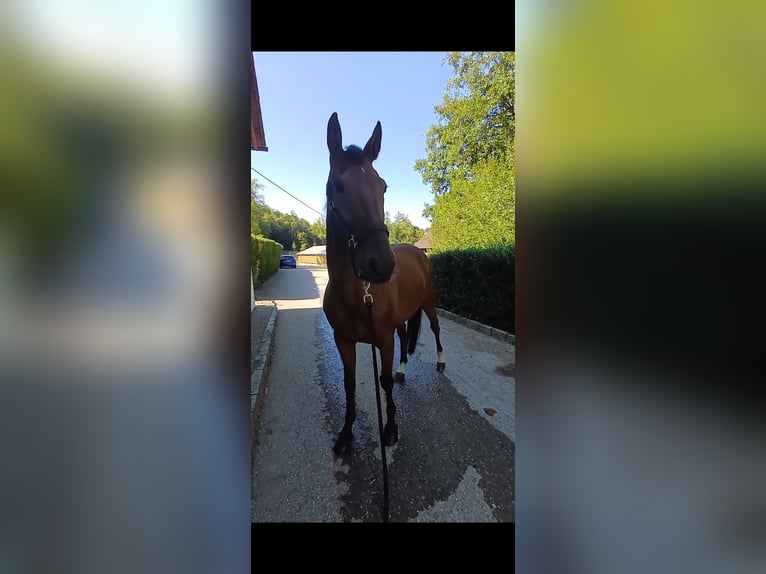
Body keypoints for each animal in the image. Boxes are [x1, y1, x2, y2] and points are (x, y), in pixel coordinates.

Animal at [322, 112, 445, 455]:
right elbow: (350, 383)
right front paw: (346, 433)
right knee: (406, 337)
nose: (381, 264)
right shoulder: (343, 341)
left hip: (429, 304)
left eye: (383, 186)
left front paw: (390, 428)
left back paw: (441, 362)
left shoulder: (384, 340)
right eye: (338, 186)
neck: (356, 295)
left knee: (435, 329)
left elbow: (385, 381)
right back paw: (404, 370)